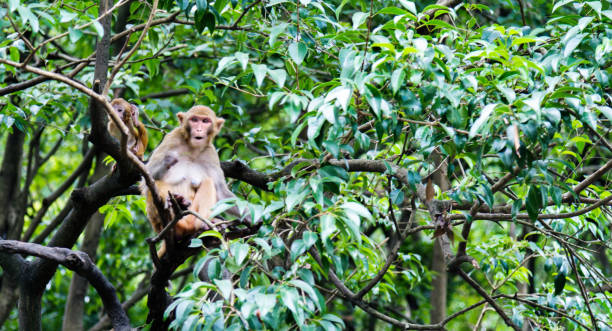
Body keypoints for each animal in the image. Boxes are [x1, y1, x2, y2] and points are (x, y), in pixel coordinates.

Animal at [141, 106, 253, 256]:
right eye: (194, 120)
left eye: (205, 121)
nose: (199, 129)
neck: (192, 148)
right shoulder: (171, 138)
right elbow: (147, 179)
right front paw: (167, 161)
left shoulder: (211, 153)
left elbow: (220, 191)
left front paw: (249, 215)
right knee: (155, 185)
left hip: (191, 216)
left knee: (208, 182)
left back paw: (202, 223)